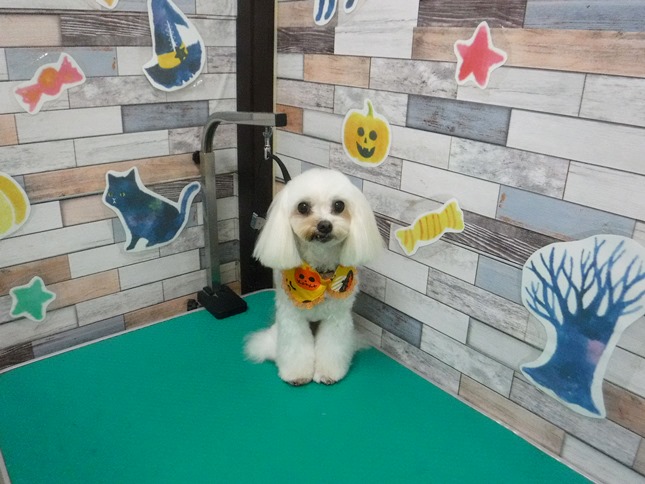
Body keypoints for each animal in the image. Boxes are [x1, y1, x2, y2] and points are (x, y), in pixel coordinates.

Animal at [244, 168, 382, 386]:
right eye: (303, 207)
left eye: (339, 205)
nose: (324, 225)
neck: (321, 274)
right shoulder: (291, 318)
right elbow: (295, 346)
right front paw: (297, 374)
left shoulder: (337, 318)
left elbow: (332, 345)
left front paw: (328, 373)